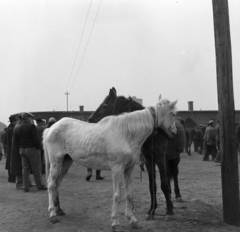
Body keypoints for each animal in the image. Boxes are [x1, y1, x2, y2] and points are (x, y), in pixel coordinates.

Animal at [43, 96, 177, 230]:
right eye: (173, 114)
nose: (174, 132)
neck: (126, 133)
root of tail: (51, 128)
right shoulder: (117, 169)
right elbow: (117, 195)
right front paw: (115, 222)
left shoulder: (129, 169)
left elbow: (129, 194)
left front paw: (132, 220)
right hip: (56, 163)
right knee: (51, 184)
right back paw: (53, 215)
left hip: (66, 162)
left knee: (57, 184)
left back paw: (59, 210)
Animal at [88, 86, 186, 219]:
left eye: (105, 105)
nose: (90, 119)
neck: (153, 134)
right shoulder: (149, 161)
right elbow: (152, 185)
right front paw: (152, 210)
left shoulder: (160, 159)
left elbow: (164, 184)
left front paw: (169, 211)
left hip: (174, 158)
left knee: (175, 173)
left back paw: (177, 196)